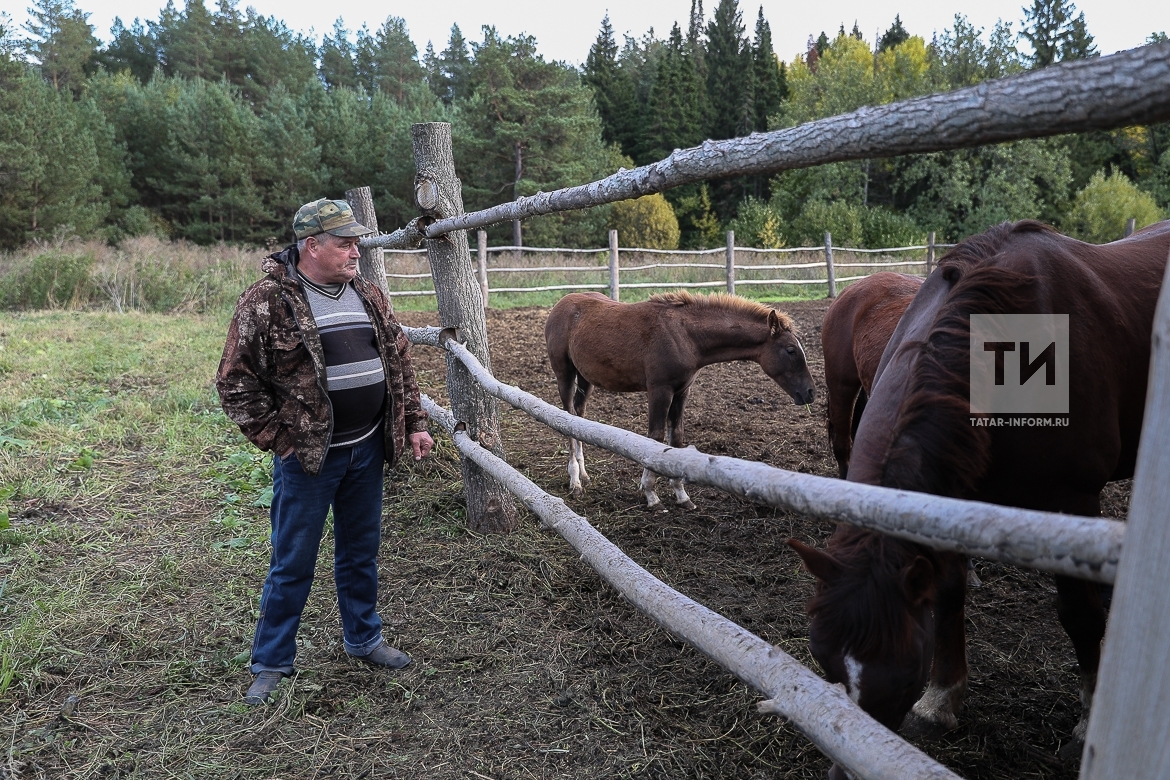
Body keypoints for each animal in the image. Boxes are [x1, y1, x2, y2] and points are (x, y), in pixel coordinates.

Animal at [545, 290, 814, 509]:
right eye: (791, 350)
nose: (810, 392)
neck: (684, 335)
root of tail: (560, 304)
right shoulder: (660, 390)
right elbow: (655, 438)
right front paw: (651, 494)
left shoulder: (682, 391)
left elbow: (675, 439)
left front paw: (682, 495)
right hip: (565, 375)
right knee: (566, 419)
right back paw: (575, 482)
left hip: (585, 378)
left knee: (578, 416)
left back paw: (583, 473)